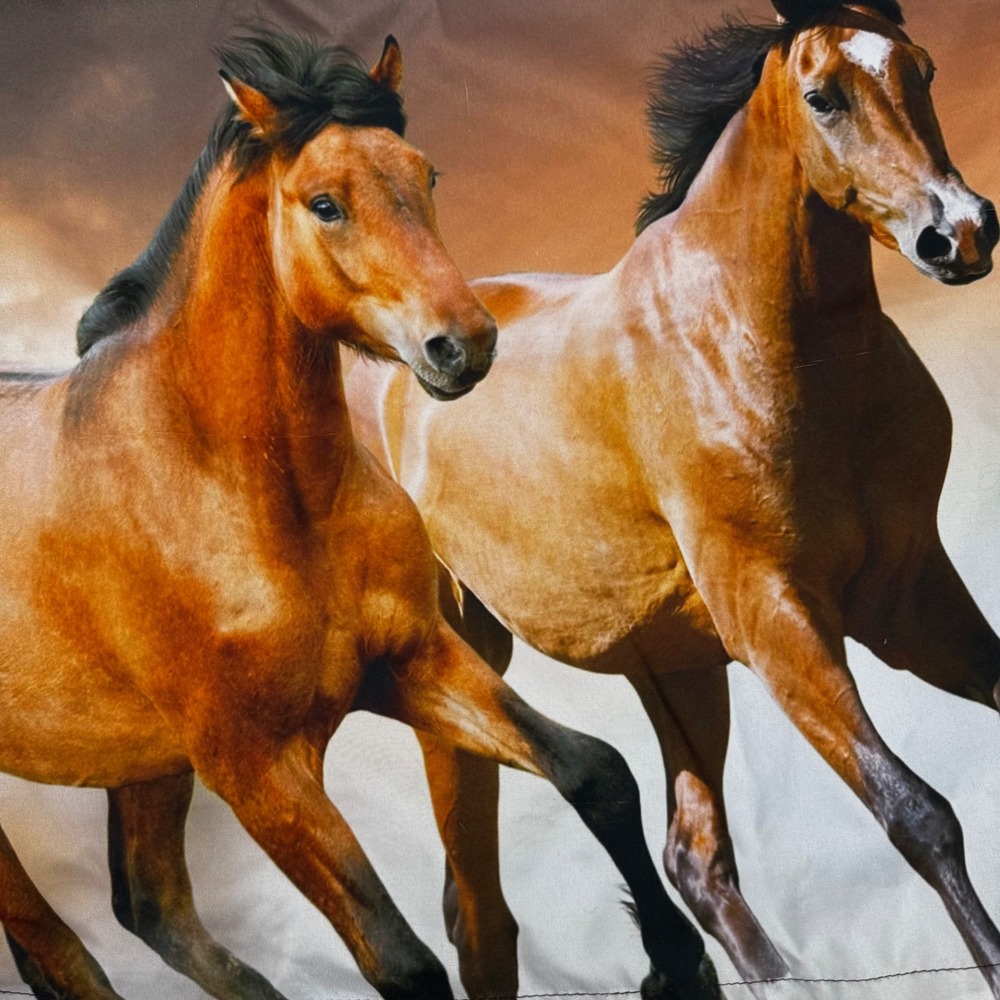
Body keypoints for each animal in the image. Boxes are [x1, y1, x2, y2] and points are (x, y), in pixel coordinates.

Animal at [0, 30, 721, 1000]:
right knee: (59, 947)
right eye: (325, 203)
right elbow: (402, 961)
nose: (463, 344)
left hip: (143, 765)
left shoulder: (411, 661)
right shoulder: (258, 769)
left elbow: (595, 773)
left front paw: (679, 965)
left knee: (152, 909)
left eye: (427, 173)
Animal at [345, 0, 1000, 996]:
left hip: (675, 667)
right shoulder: (778, 618)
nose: (959, 233)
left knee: (695, 859)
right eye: (824, 95)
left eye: (920, 69)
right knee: (479, 907)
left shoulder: (908, 601)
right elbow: (919, 815)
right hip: (460, 659)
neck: (750, 333)